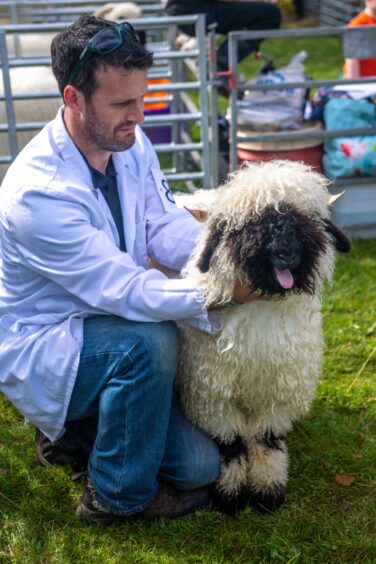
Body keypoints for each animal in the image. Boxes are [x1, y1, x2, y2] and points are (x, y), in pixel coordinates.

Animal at [175, 159, 352, 516]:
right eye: (250, 223)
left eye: (303, 219)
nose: (286, 253)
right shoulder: (212, 394)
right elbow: (231, 443)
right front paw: (230, 496)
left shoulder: (277, 392)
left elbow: (265, 441)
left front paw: (268, 492)